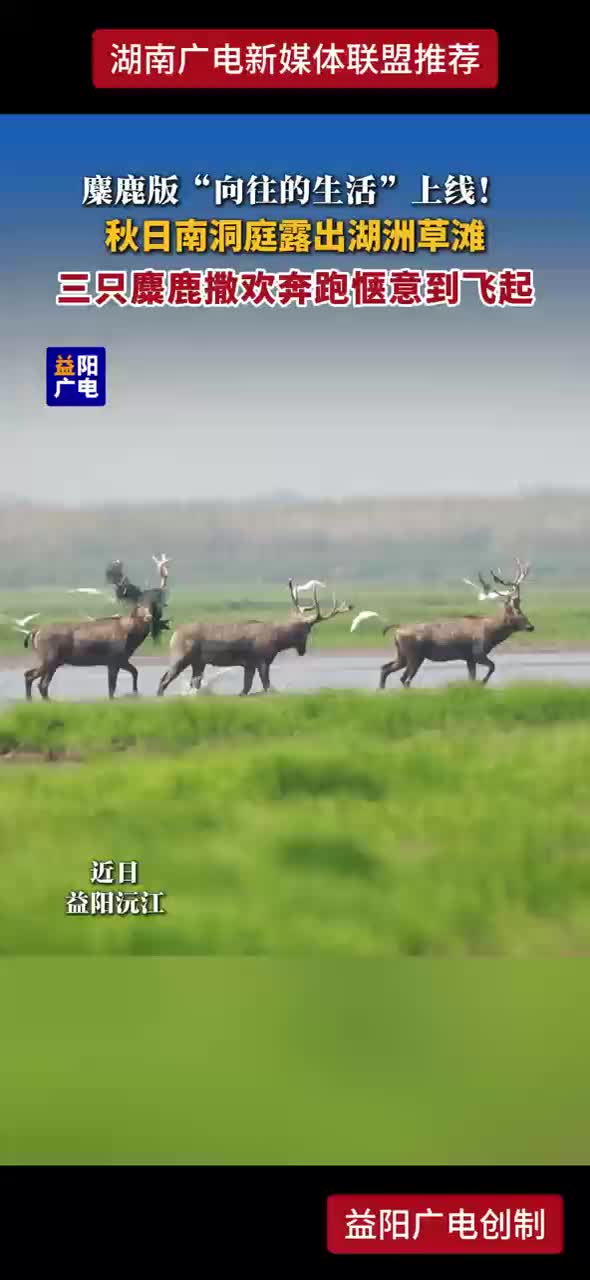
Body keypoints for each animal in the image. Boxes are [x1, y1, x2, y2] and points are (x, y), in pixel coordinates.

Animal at [23, 600, 166, 701]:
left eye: (151, 607)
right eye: (139, 608)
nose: (148, 617)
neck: (132, 638)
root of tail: (35, 632)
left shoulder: (121, 660)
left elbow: (134, 672)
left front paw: (135, 692)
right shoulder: (113, 659)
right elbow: (112, 683)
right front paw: (113, 698)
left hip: (54, 662)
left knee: (37, 680)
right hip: (50, 658)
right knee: (34, 678)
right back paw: (33, 699)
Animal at [157, 580, 353, 697]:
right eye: (308, 630)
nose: (303, 651)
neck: (278, 640)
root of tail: (174, 634)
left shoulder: (249, 664)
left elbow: (246, 688)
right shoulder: (262, 660)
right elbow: (266, 685)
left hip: (199, 662)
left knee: (193, 682)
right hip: (181, 657)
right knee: (164, 679)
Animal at [350, 559, 534, 690]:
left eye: (521, 609)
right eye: (516, 612)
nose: (530, 627)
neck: (492, 633)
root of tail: (396, 630)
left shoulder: (469, 658)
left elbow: (472, 678)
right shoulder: (477, 653)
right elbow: (492, 667)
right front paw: (482, 683)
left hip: (402, 655)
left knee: (385, 668)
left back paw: (381, 690)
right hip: (414, 656)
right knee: (404, 678)